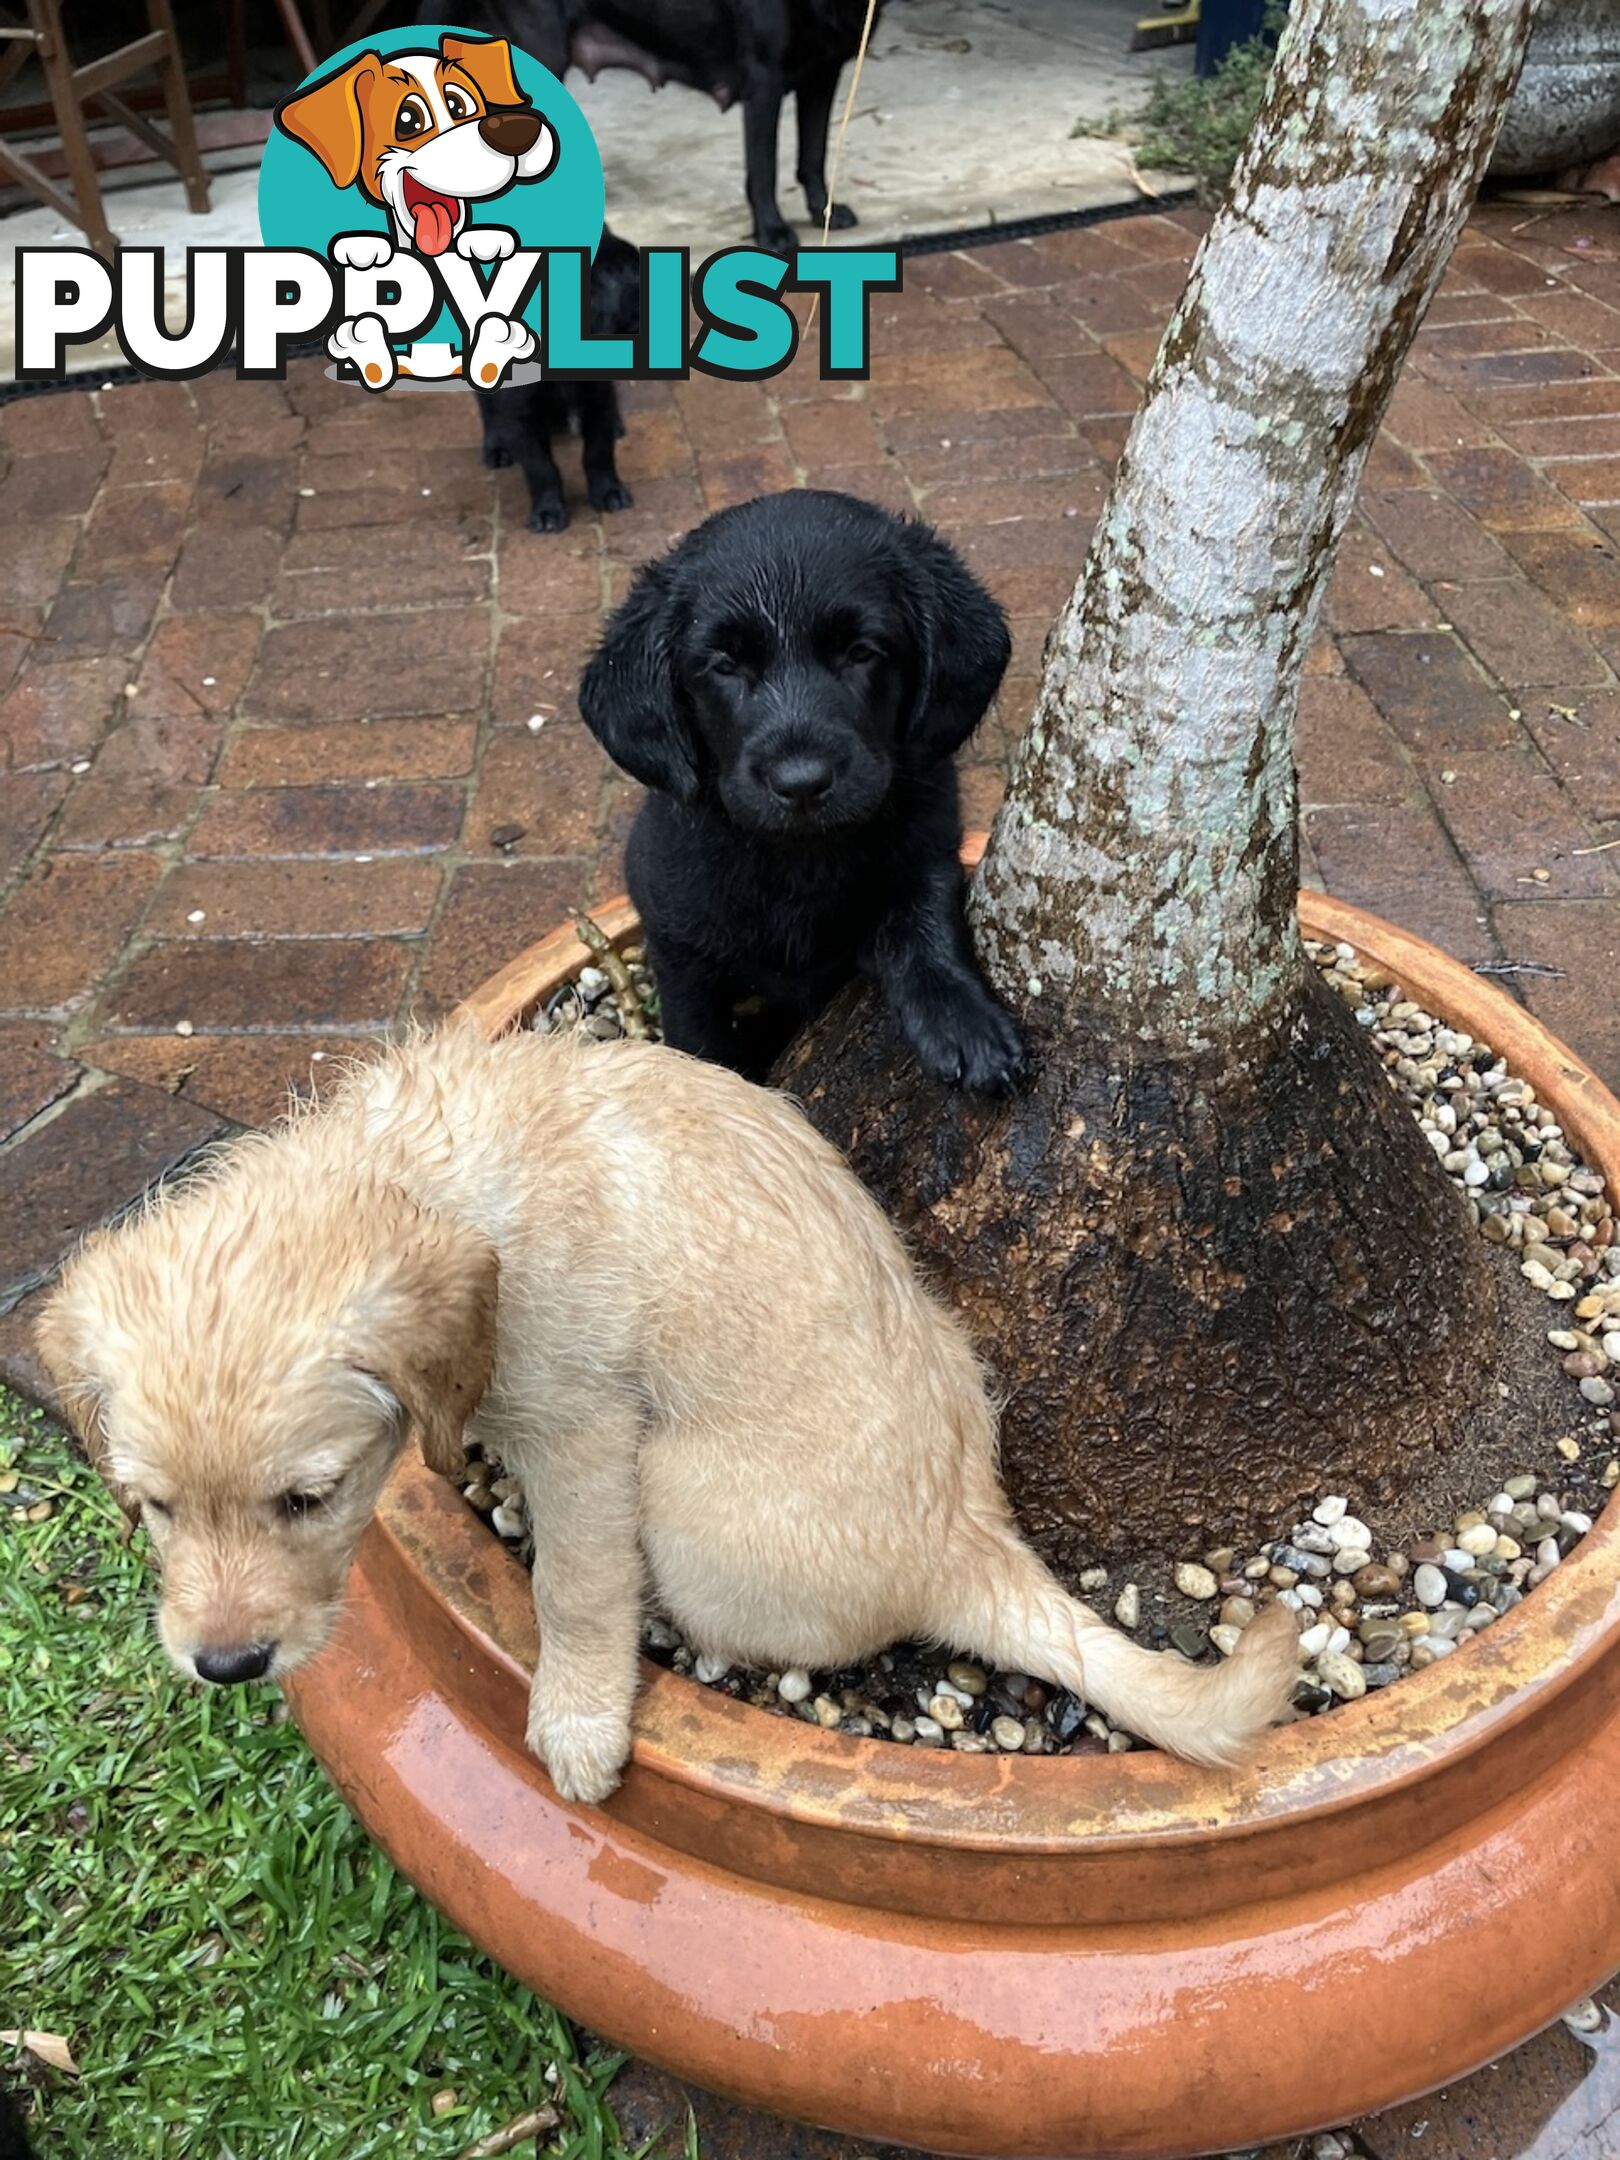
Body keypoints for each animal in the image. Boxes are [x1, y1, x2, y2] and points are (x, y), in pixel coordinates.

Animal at [38, 1019, 1304, 1797]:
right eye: (154, 1507)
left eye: (312, 1497)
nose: (226, 1666)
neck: (431, 1179)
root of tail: (969, 1540)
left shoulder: (583, 1433)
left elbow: (577, 1587)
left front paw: (578, 1719)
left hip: (684, 1511)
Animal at [440, 0, 876, 247]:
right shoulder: (763, 78)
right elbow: (764, 171)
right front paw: (773, 231)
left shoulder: (824, 71)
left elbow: (814, 155)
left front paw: (823, 212)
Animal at [468, 223, 639, 535]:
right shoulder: (518, 410)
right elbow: (540, 467)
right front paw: (548, 511)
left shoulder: (596, 394)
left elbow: (598, 450)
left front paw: (609, 492)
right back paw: (497, 446)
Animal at [578, 494, 1019, 1097]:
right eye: (724, 665)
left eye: (861, 652)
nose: (802, 782)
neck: (800, 858)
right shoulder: (677, 942)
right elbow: (699, 1038)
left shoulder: (930, 841)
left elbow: (923, 918)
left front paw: (962, 1020)